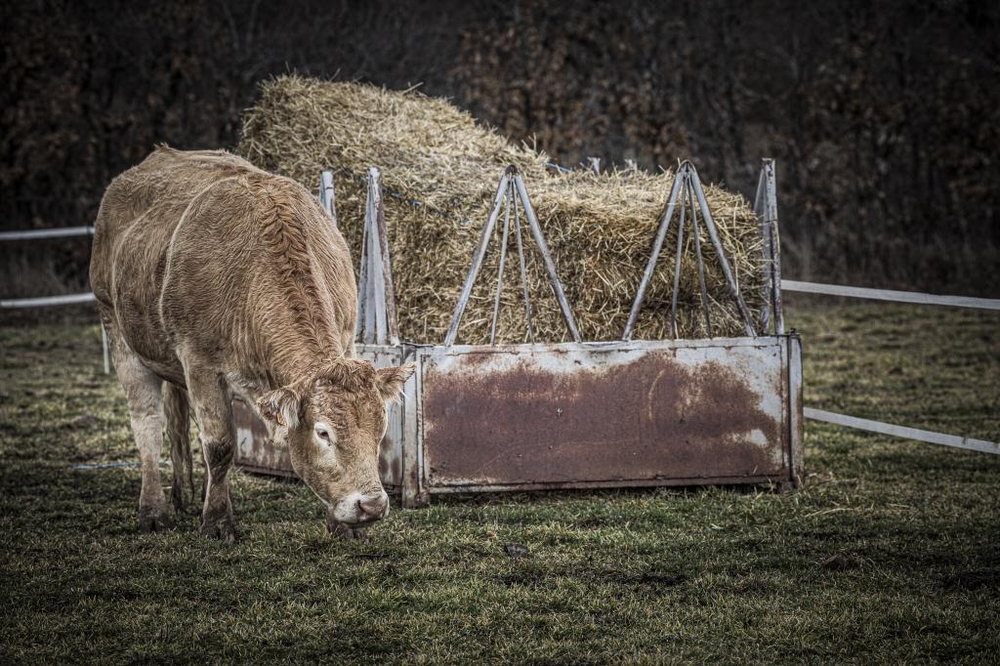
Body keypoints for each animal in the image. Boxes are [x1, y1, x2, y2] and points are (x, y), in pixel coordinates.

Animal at [88, 147, 412, 540]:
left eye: (380, 428)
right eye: (323, 433)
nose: (372, 505)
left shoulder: (347, 340)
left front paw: (340, 525)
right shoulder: (199, 363)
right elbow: (219, 446)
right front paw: (216, 521)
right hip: (116, 327)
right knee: (147, 423)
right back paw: (153, 509)